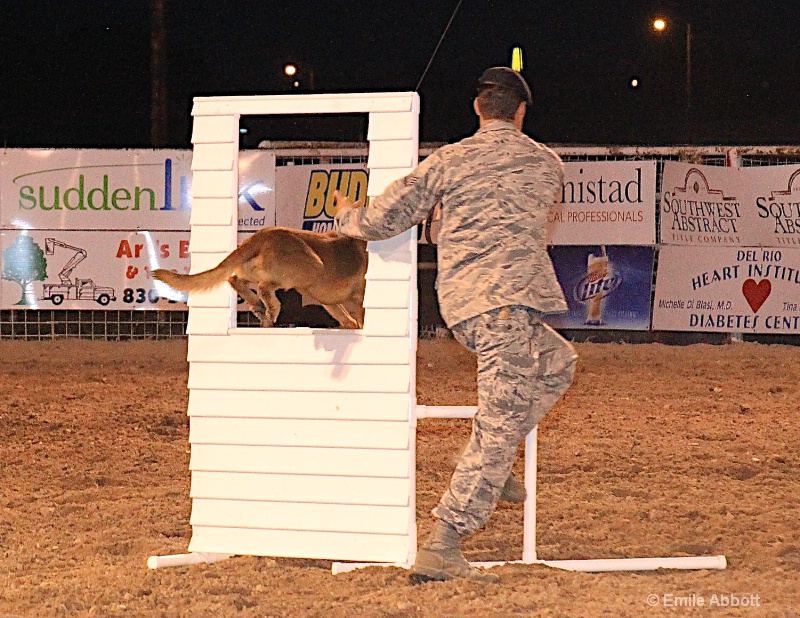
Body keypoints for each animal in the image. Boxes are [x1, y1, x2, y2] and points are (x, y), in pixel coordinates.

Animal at [153, 227, 368, 328]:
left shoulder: (336, 304)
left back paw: (257, 306)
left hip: (250, 269)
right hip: (312, 268)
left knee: (234, 279)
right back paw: (269, 309)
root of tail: (262, 235)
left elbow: (347, 319)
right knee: (265, 287)